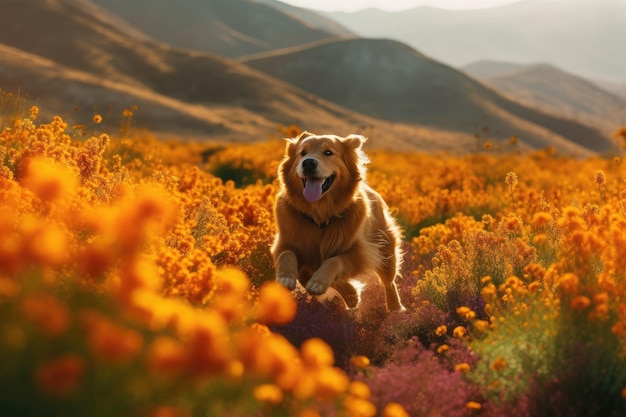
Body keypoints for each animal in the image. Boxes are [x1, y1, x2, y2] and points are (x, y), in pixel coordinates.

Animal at [270, 130, 402, 308]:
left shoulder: (361, 252)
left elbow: (334, 261)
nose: (308, 163)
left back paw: (395, 309)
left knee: (389, 282)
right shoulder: (283, 243)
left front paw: (319, 282)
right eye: (302, 153)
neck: (320, 216)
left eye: (328, 152)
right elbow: (287, 254)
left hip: (385, 250)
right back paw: (351, 296)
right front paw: (285, 277)